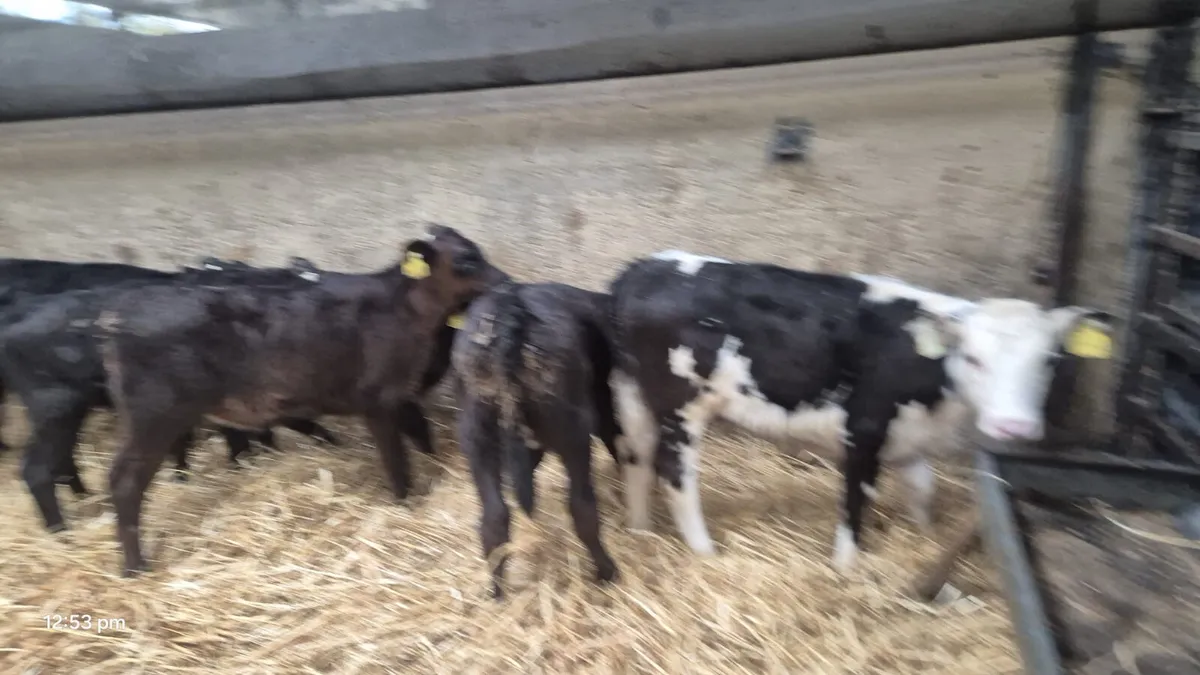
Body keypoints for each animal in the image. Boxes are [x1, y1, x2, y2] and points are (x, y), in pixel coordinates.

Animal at [102, 224, 505, 576]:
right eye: (466, 260)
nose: (505, 283)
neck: (404, 310)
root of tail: (119, 315)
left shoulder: (402, 396)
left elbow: (421, 437)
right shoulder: (379, 401)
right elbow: (396, 461)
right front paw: (405, 501)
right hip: (154, 415)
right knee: (124, 481)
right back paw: (135, 567)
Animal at [452, 281, 623, 598]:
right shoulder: (600, 400)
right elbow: (614, 436)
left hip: (476, 434)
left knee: (494, 516)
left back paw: (497, 591)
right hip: (572, 433)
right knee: (582, 507)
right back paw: (607, 571)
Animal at [607, 250, 1114, 573]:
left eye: (1050, 360)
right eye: (972, 358)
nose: (1013, 426)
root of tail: (643, 267)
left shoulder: (910, 437)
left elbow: (923, 491)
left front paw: (923, 535)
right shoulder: (864, 429)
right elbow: (856, 500)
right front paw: (846, 566)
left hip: (634, 394)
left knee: (636, 458)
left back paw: (640, 531)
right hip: (681, 404)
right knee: (674, 473)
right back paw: (703, 551)